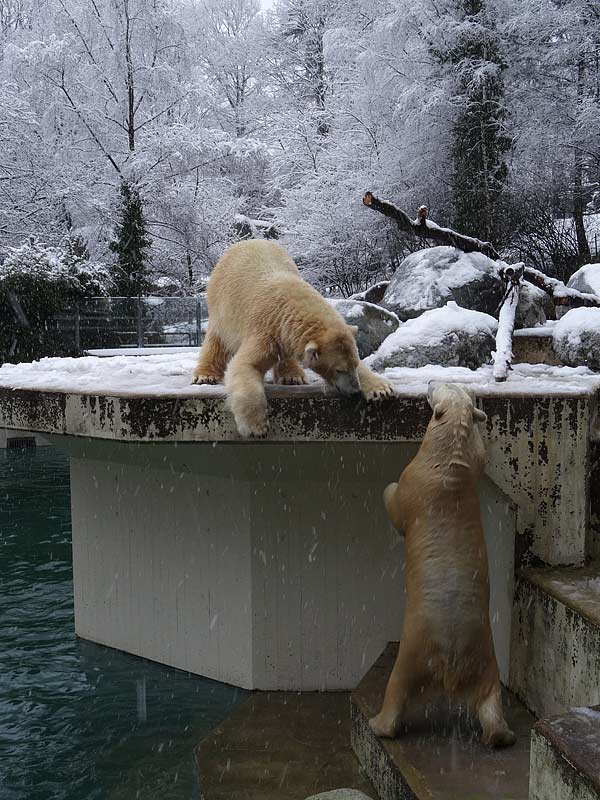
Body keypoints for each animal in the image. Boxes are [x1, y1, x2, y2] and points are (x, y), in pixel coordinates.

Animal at [192, 238, 394, 438]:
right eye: (339, 370)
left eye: (354, 364)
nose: (354, 390)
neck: (290, 303)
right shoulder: (264, 330)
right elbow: (245, 365)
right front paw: (256, 427)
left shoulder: (281, 331)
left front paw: (381, 389)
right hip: (221, 308)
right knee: (216, 342)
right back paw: (206, 375)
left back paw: (293, 377)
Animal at [370, 384, 516, 748]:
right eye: (456, 386)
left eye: (439, 386)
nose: (428, 383)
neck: (449, 465)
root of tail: (451, 659)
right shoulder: (470, 468)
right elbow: (480, 454)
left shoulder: (416, 478)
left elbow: (396, 501)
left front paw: (387, 489)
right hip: (485, 656)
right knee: (490, 696)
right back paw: (501, 734)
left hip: (413, 650)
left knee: (397, 686)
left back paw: (379, 723)